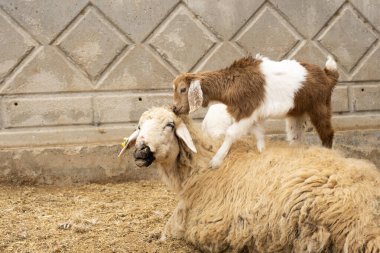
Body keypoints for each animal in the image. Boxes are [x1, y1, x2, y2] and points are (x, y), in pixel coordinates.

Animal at [120, 106, 380, 253]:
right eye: (139, 126)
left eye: (170, 124)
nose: (141, 150)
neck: (201, 164)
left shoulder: (185, 225)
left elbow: (166, 234)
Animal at [172, 54, 338, 168]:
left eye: (183, 89)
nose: (174, 108)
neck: (234, 82)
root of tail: (328, 75)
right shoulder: (252, 113)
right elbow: (258, 132)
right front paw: (262, 152)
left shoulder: (247, 110)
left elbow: (231, 133)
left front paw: (215, 161)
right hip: (297, 111)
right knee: (295, 136)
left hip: (319, 105)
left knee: (327, 132)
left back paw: (329, 156)